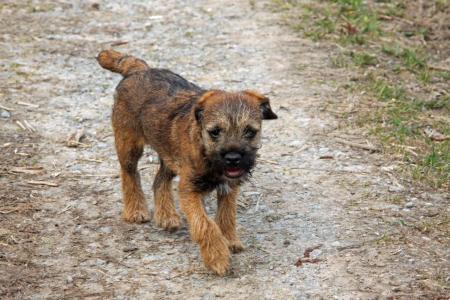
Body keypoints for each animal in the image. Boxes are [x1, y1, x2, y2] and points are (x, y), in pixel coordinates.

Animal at [96, 49, 276, 276]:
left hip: (170, 156)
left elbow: (227, 216)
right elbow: (205, 224)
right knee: (129, 174)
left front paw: (229, 240)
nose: (233, 158)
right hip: (129, 144)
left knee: (159, 180)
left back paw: (166, 216)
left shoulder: (229, 188)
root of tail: (138, 69)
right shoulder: (189, 190)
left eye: (250, 131)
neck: (205, 152)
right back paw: (135, 210)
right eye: (214, 131)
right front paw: (217, 257)